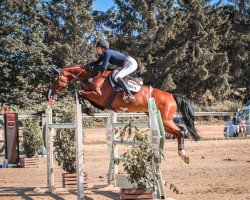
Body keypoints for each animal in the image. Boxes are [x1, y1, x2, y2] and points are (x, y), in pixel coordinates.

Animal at [48, 65, 201, 163]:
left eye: (54, 80)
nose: (49, 95)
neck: (93, 77)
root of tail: (171, 96)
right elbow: (81, 94)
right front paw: (88, 109)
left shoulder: (98, 96)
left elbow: (80, 92)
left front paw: (87, 109)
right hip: (163, 122)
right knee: (177, 132)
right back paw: (182, 154)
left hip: (165, 120)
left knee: (180, 131)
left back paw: (183, 154)